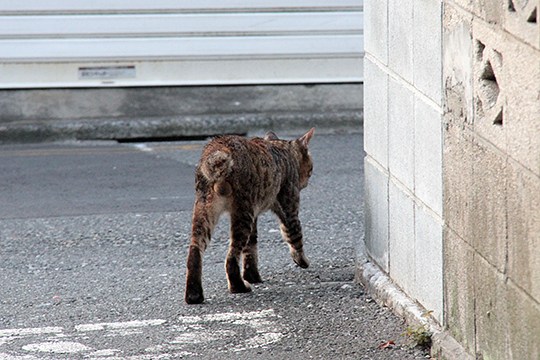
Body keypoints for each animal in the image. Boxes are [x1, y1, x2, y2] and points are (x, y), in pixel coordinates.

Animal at [186, 129, 314, 304]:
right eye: (311, 169)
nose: (307, 181)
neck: (283, 150)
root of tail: (217, 148)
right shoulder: (288, 210)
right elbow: (295, 237)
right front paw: (302, 261)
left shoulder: (254, 215)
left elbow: (250, 249)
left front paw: (252, 276)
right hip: (242, 212)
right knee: (231, 257)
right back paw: (238, 287)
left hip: (204, 211)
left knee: (195, 251)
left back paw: (193, 294)